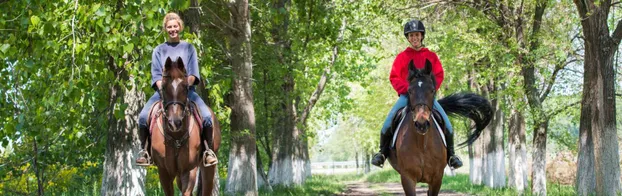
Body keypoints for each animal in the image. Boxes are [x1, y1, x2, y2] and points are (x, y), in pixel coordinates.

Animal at [149, 56, 222, 195]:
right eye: (164, 88)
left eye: (185, 87)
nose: (175, 123)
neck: (176, 136)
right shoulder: (164, 171)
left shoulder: (188, 170)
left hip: (208, 167)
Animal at [388, 60, 494, 196]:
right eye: (409, 91)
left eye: (432, 90)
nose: (421, 124)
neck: (422, 143)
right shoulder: (407, 178)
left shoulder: (437, 178)